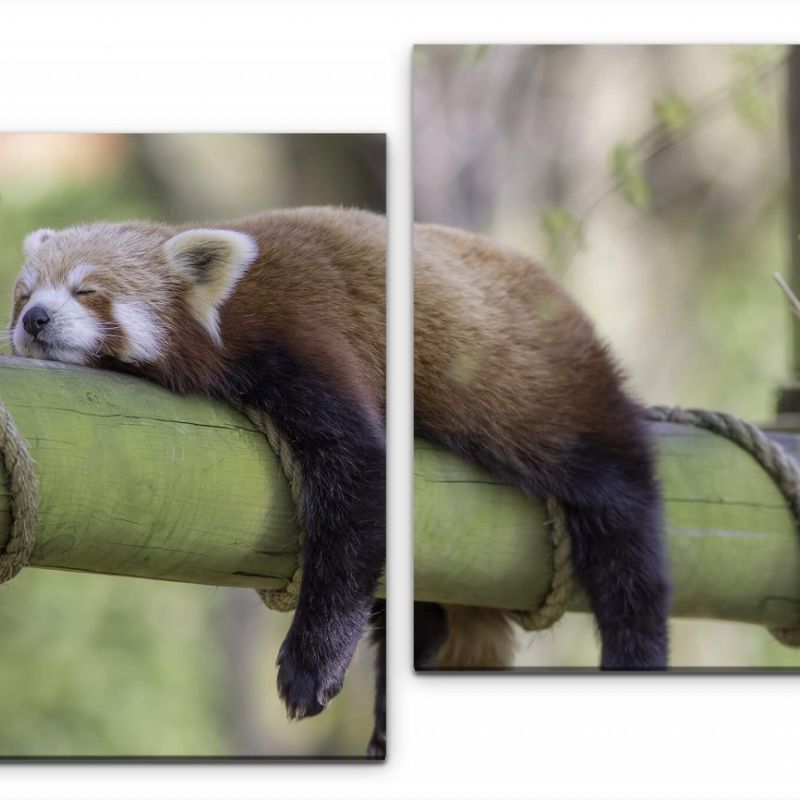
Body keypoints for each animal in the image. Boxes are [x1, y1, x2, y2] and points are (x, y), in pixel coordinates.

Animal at [7, 206, 390, 756]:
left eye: (87, 290)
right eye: (24, 296)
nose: (35, 318)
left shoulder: (293, 340)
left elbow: (358, 478)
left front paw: (312, 664)